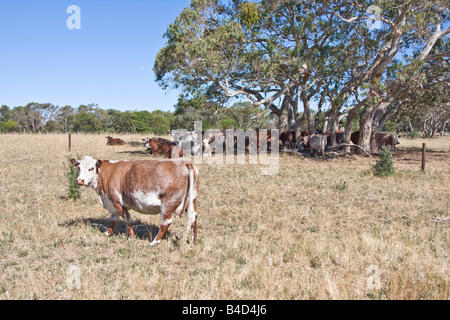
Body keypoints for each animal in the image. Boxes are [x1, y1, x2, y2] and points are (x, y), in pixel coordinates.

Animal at [70, 156, 199, 246]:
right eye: (79, 167)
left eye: (91, 168)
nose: (79, 180)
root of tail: (185, 163)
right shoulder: (113, 203)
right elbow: (113, 218)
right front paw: (108, 232)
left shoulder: (117, 202)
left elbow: (126, 219)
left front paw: (131, 236)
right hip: (191, 200)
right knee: (194, 216)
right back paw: (193, 240)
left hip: (168, 204)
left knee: (166, 222)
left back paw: (154, 242)